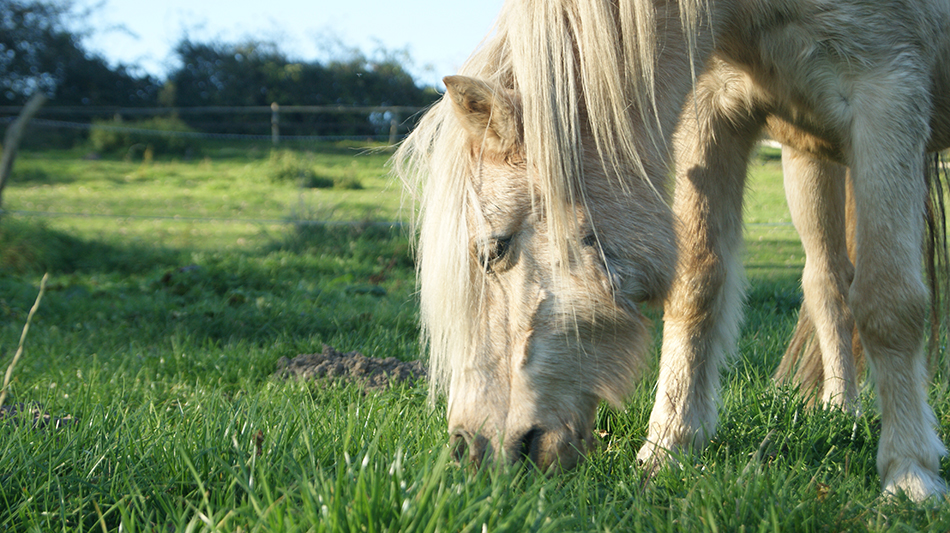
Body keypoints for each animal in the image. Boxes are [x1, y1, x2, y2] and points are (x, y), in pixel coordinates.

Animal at [394, 0, 950, 501]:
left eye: (494, 249)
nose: (468, 449)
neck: (745, 13)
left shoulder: (888, 93)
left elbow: (889, 303)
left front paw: (910, 473)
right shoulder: (712, 112)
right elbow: (697, 288)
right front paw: (668, 447)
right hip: (807, 154)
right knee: (827, 280)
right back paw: (842, 409)